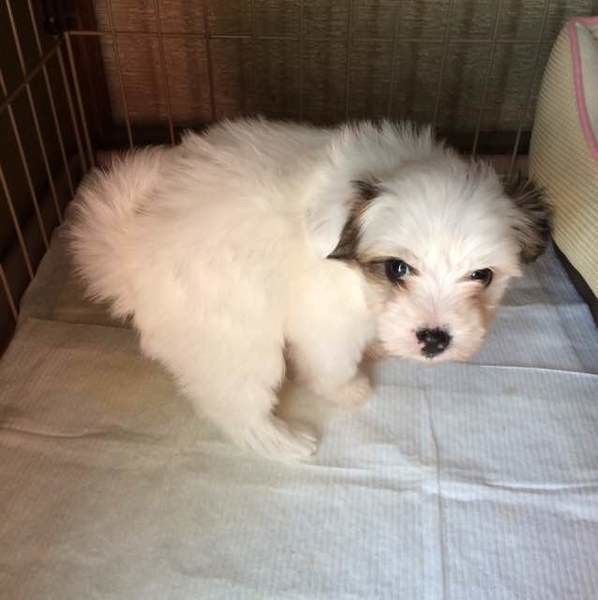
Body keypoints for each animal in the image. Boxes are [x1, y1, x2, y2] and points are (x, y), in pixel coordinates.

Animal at [69, 118, 551, 460]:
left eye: (482, 275)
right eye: (397, 268)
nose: (434, 339)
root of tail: (129, 252)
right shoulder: (325, 320)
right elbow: (330, 364)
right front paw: (348, 389)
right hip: (234, 336)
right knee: (234, 402)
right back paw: (281, 441)